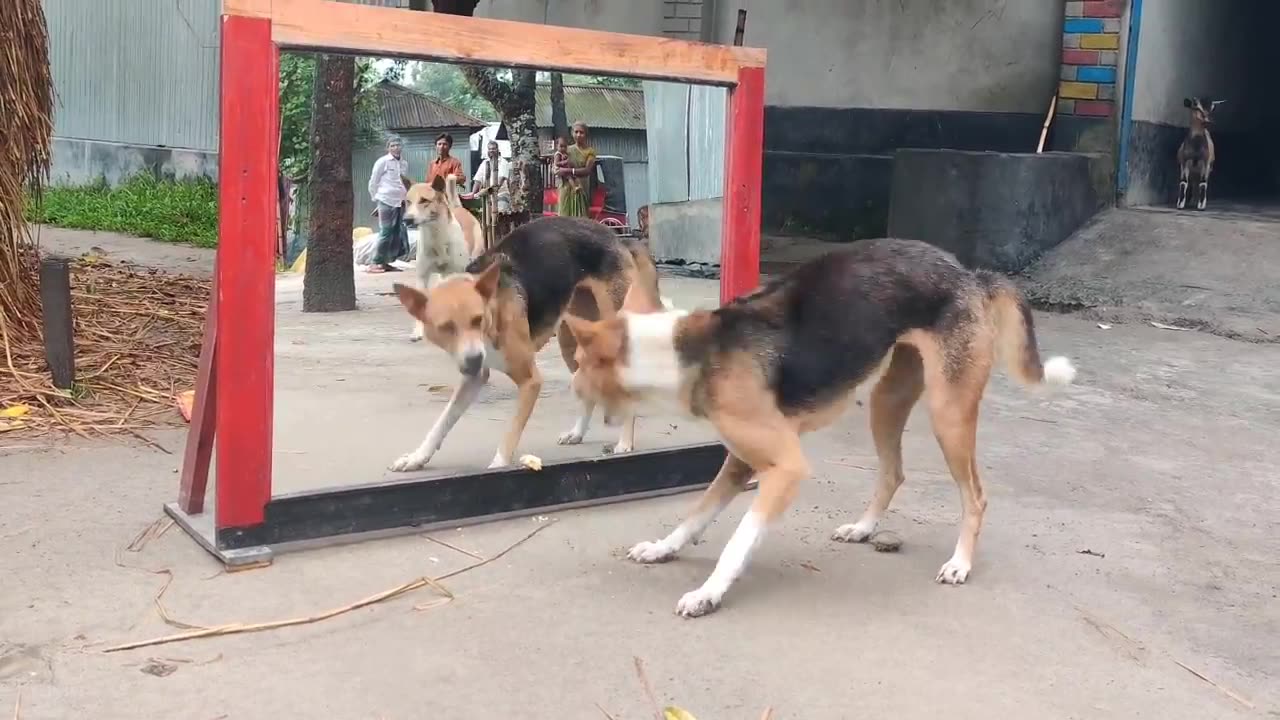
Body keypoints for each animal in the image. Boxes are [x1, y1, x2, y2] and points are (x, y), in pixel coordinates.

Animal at [391, 212, 665, 471]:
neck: (495, 308)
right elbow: (442, 422)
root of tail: (617, 238)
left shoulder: (530, 381)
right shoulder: (474, 377)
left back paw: (625, 442)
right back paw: (577, 433)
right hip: (574, 344)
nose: (473, 360)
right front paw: (417, 457)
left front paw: (499, 464)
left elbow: (511, 431)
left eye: (478, 320)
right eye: (446, 328)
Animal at [565, 237, 1075, 617]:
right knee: (893, 472)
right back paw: (865, 529)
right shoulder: (739, 462)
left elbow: (737, 541)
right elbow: (695, 515)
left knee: (975, 496)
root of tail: (971, 275)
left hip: (948, 414)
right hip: (886, 403)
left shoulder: (785, 468)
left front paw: (708, 592)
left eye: (583, 364)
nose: (570, 383)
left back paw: (959, 563)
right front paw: (663, 549)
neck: (692, 353)